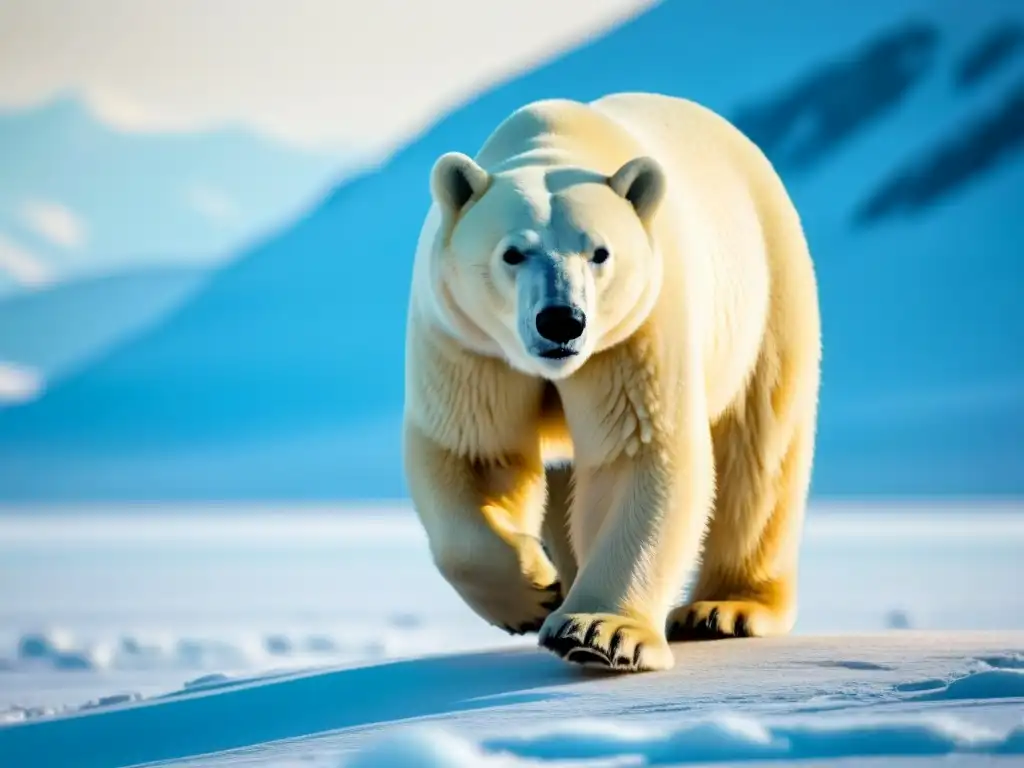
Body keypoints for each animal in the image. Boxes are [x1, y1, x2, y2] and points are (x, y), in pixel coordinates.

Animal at [401, 91, 823, 671]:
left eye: (599, 252)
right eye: (512, 252)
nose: (562, 321)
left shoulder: (633, 332)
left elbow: (635, 451)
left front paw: (597, 632)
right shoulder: (470, 344)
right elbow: (476, 453)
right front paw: (534, 593)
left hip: (767, 297)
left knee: (758, 453)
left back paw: (724, 610)